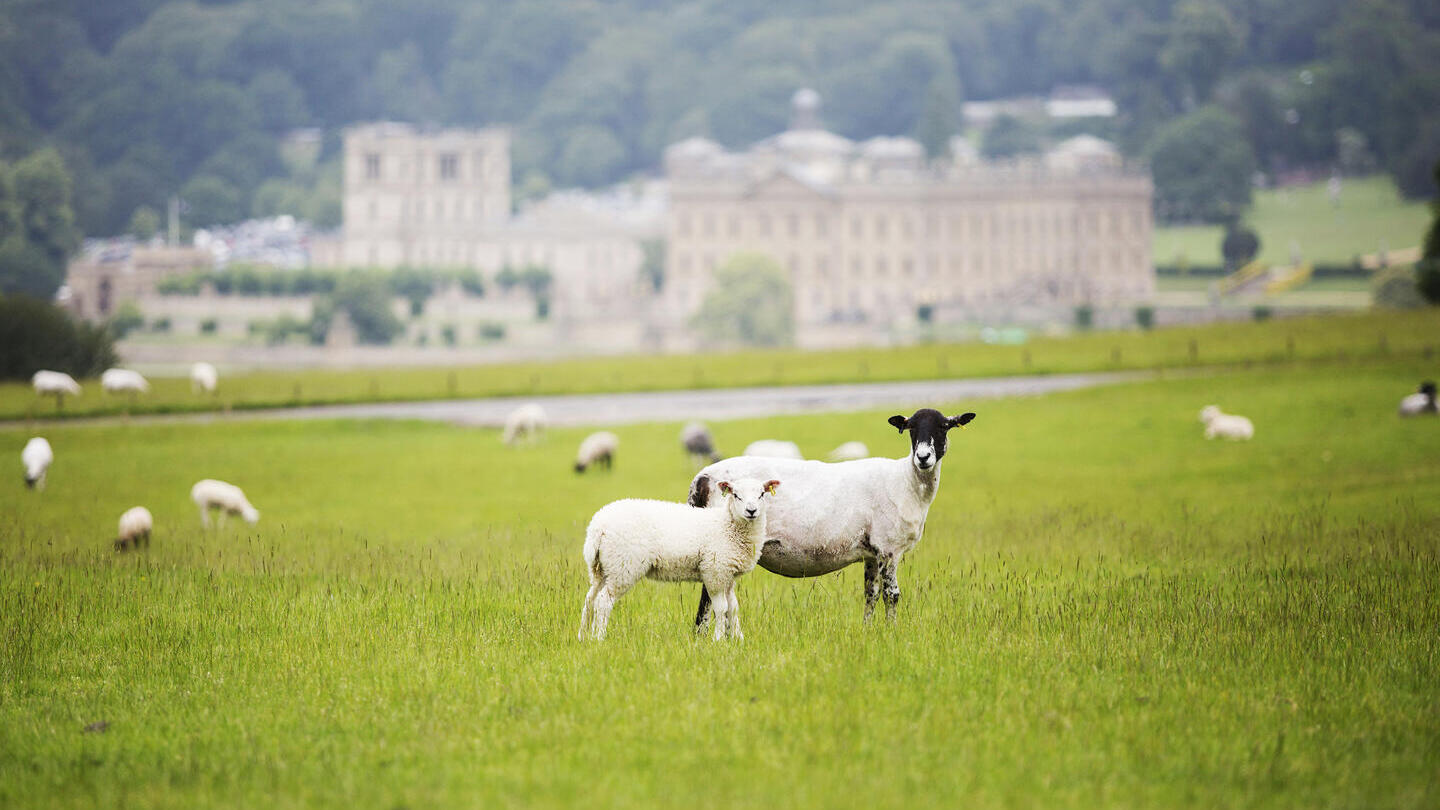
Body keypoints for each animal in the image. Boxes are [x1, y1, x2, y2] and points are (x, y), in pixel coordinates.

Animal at [580, 477, 781, 641]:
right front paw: (719, 640)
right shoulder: (715, 572)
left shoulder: (728, 575)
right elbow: (721, 608)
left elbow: (733, 607)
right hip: (623, 566)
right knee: (603, 601)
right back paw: (599, 637)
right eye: (736, 495)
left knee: (590, 599)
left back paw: (584, 637)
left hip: (601, 568)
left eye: (762, 494)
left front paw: (738, 639)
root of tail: (598, 526)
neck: (727, 525)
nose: (751, 511)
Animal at [689, 408, 976, 628]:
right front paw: (893, 631)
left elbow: (870, 594)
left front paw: (868, 631)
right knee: (708, 597)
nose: (923, 457)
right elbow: (892, 595)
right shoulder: (889, 548)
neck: (905, 481)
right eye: (911, 428)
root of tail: (702, 477)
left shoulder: (872, 553)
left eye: (944, 427)